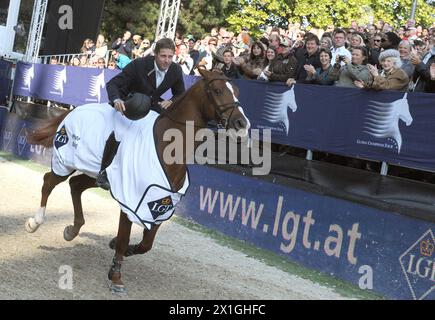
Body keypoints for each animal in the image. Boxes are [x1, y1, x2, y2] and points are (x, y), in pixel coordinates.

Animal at [26, 69, 252, 294]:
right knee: (49, 182)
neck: (168, 147)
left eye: (237, 91)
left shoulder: (159, 204)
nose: (242, 124)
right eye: (218, 90)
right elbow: (124, 238)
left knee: (75, 186)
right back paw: (34, 223)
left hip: (97, 177)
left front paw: (123, 248)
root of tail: (76, 110)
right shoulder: (130, 200)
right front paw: (116, 277)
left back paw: (72, 230)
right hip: (65, 163)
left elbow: (146, 244)